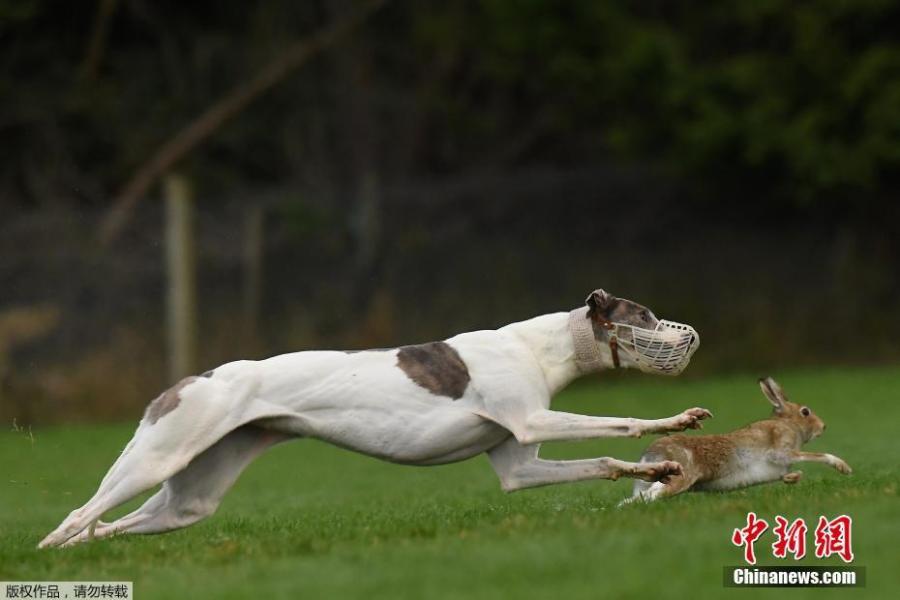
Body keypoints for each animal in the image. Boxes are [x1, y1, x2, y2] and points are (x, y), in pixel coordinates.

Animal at [38, 288, 708, 548]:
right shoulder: (531, 422)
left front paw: (659, 471)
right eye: (644, 316)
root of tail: (190, 380)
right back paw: (48, 551)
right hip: (155, 458)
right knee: (76, 515)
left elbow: (603, 460)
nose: (690, 336)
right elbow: (621, 422)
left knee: (115, 524)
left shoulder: (519, 466)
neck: (539, 347)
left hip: (189, 496)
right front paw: (675, 422)